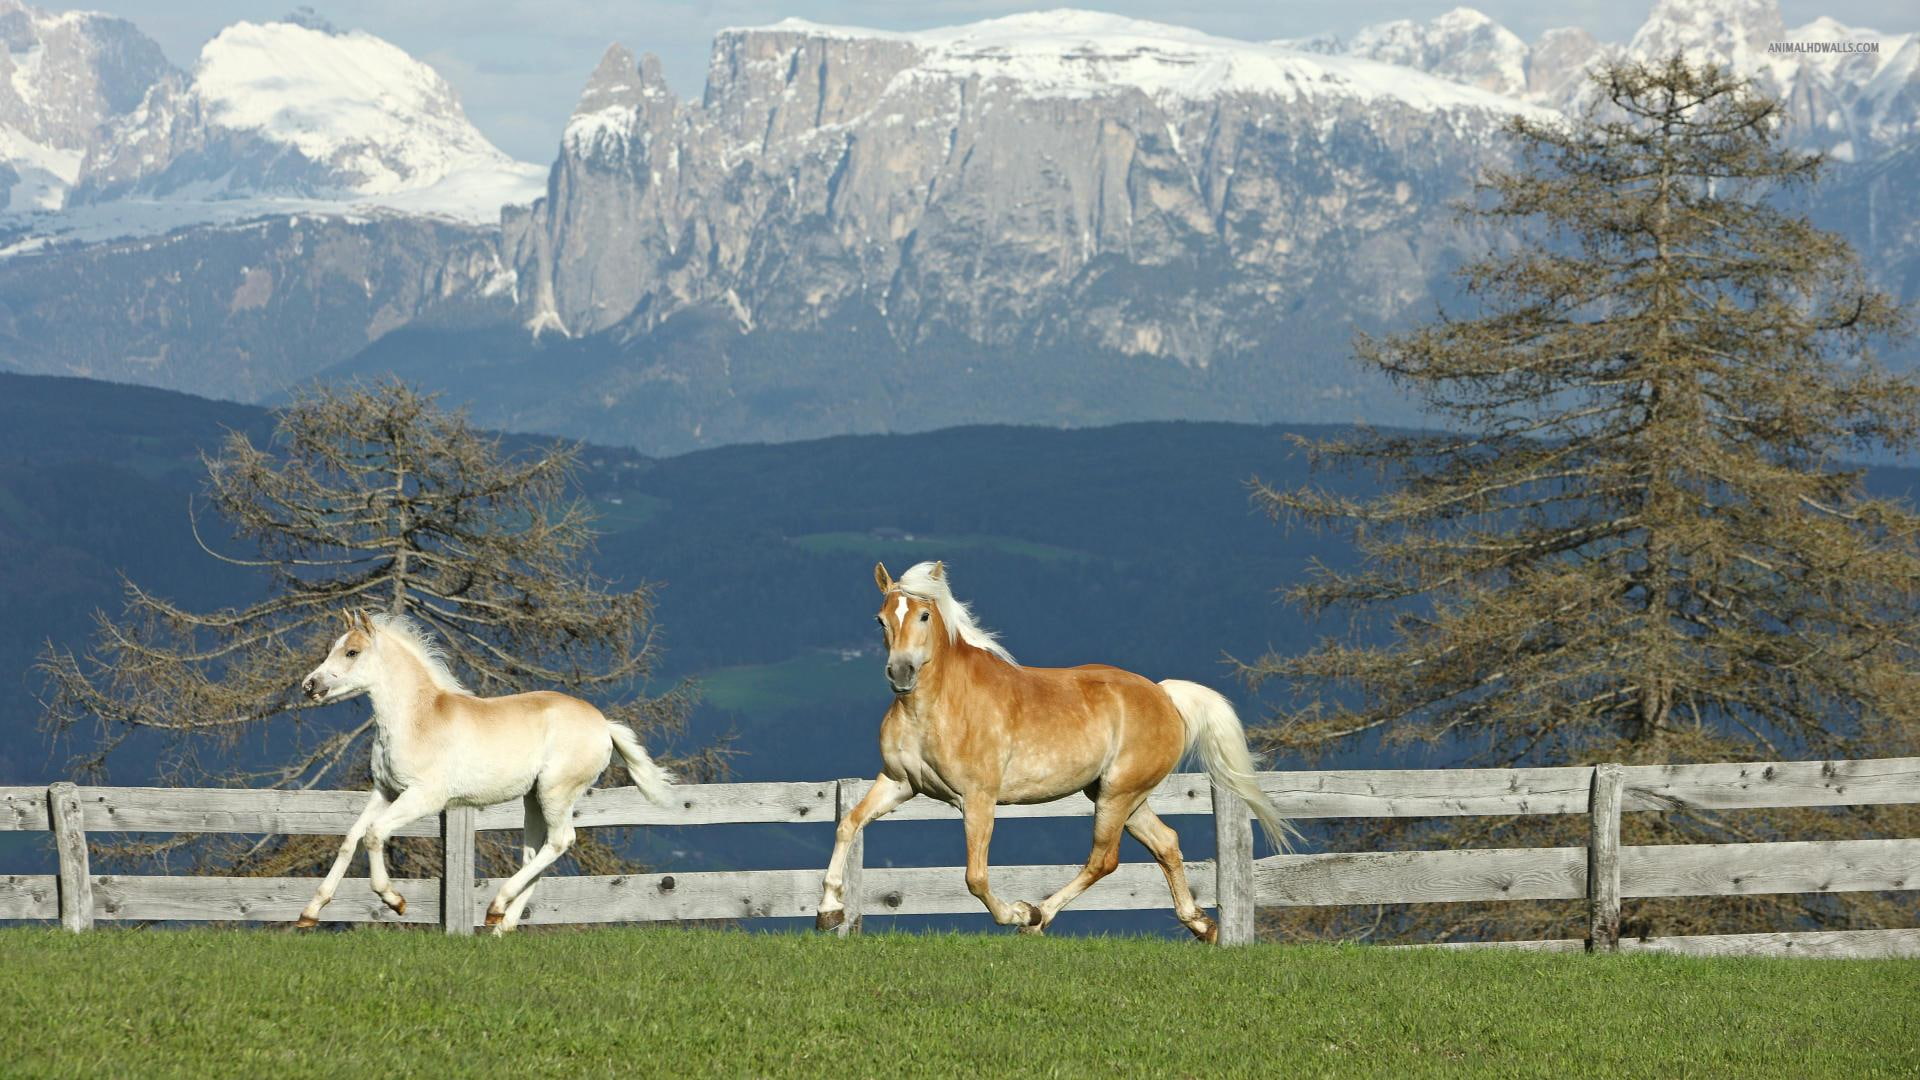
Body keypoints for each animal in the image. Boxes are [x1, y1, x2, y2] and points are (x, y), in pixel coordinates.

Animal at [294, 609, 674, 933]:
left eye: (352, 652)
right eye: (334, 648)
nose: (309, 686)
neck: (417, 720)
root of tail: (603, 724)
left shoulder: (425, 798)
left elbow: (373, 835)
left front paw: (395, 901)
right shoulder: (385, 792)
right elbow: (350, 839)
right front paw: (309, 914)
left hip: (556, 791)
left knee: (560, 841)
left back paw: (497, 906)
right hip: (533, 798)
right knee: (536, 852)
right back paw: (501, 925)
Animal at [817, 561, 1292, 941]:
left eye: (923, 614)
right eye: (880, 619)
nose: (901, 673)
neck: (935, 707)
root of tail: (1163, 695)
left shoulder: (978, 799)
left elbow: (975, 876)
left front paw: (1014, 913)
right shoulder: (899, 783)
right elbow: (848, 825)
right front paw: (828, 912)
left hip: (1118, 794)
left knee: (1103, 859)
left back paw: (1037, 916)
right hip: (1119, 795)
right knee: (1166, 844)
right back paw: (1202, 926)